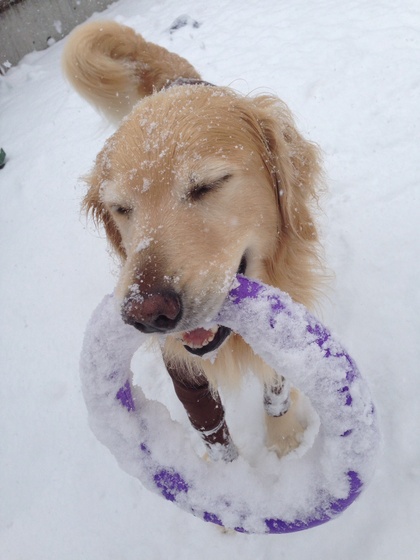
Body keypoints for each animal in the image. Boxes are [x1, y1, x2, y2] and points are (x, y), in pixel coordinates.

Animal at [63, 20, 324, 461]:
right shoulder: (184, 374)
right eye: (121, 208)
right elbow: (212, 428)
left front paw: (285, 443)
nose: (148, 314)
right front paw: (227, 472)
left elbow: (275, 387)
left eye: (207, 185)